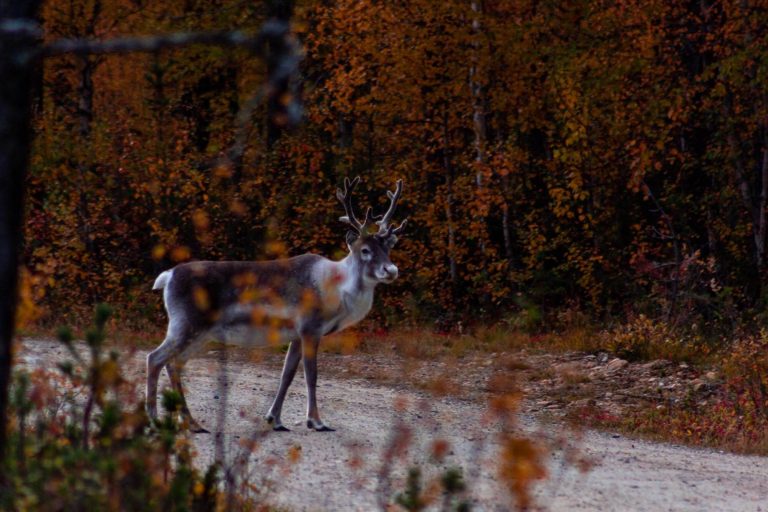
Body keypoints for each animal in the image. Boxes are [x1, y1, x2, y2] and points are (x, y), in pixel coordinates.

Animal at [146, 177, 406, 432]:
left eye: (388, 247)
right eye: (365, 250)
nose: (391, 270)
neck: (336, 290)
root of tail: (167, 277)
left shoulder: (296, 334)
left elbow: (287, 375)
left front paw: (275, 419)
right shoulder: (310, 327)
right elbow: (311, 375)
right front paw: (316, 421)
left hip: (200, 333)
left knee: (174, 364)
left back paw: (192, 423)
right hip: (186, 324)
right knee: (155, 358)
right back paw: (155, 419)